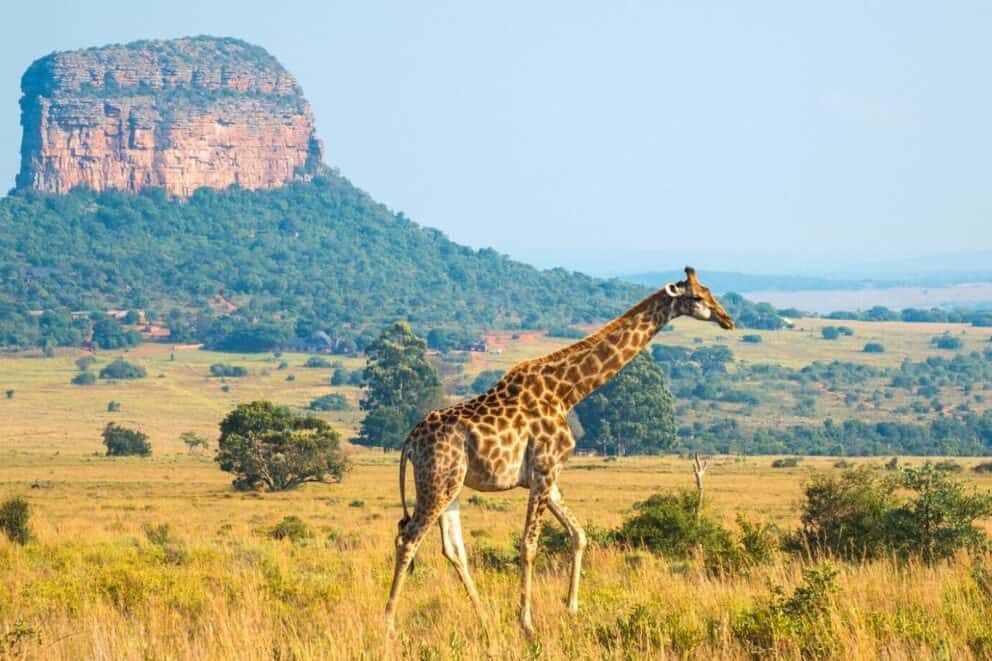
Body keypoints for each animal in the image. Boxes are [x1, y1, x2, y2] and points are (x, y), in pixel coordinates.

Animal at [384, 266, 735, 638]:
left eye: (710, 291)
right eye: (696, 297)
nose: (727, 319)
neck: (567, 392)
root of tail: (410, 440)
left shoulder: (548, 476)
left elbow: (578, 534)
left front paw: (572, 608)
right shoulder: (544, 469)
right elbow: (529, 545)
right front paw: (527, 623)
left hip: (451, 485)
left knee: (452, 548)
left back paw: (485, 619)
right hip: (438, 481)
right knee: (408, 539)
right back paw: (388, 623)